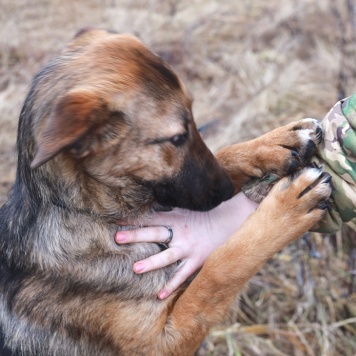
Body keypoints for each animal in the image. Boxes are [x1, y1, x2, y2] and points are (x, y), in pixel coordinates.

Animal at [0, 28, 334, 356]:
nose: (227, 190)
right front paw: (286, 209)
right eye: (176, 138)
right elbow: (220, 268)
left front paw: (273, 144)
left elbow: (224, 153)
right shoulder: (164, 342)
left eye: (194, 120)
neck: (86, 211)